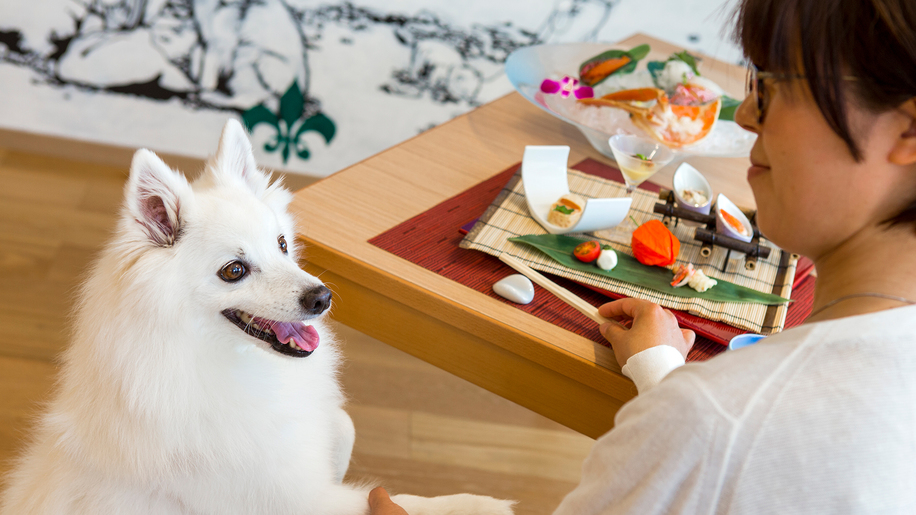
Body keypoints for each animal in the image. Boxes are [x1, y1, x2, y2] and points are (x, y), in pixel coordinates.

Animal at [0, 120, 516, 515]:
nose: (323, 297)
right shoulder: (295, 499)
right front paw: (479, 502)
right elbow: (401, 500)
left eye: (282, 244)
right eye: (234, 270)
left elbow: (342, 426)